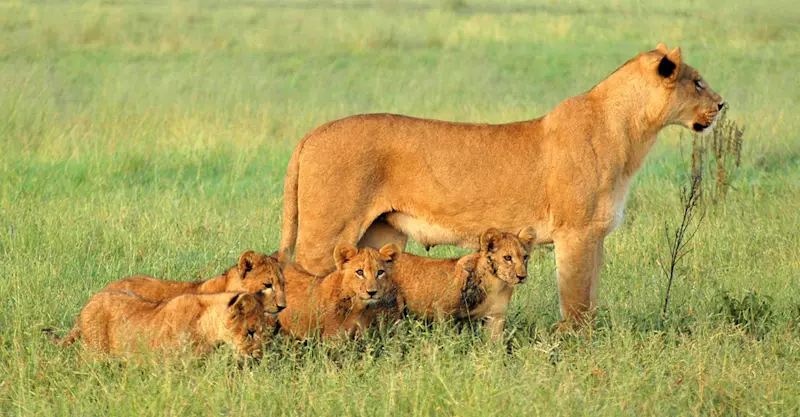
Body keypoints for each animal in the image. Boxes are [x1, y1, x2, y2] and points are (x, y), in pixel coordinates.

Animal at [278, 43, 724, 326]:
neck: (632, 132)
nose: (722, 105)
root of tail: (310, 135)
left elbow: (591, 298)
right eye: (698, 82)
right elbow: (576, 301)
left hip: (377, 235)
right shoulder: (575, 233)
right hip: (327, 233)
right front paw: (574, 349)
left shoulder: (595, 235)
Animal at [390, 228, 534, 339]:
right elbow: (445, 339)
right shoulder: (442, 309)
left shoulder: (495, 317)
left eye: (525, 257)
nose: (522, 276)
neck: (496, 284)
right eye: (507, 258)